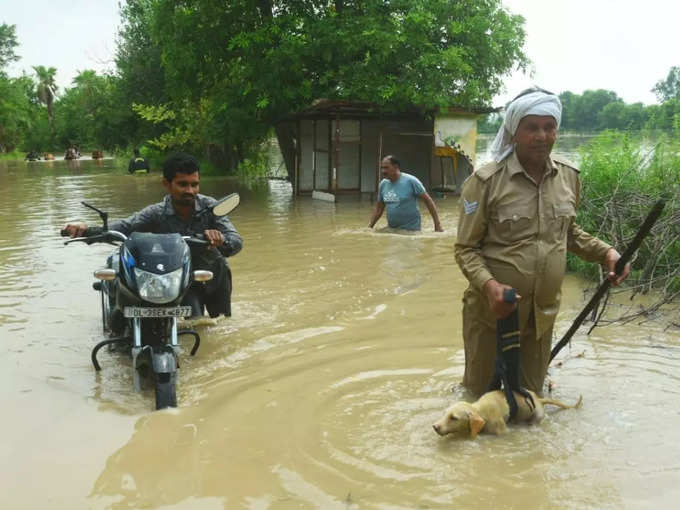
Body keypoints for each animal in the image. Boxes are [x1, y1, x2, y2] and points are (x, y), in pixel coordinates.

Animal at [432, 390, 580, 438]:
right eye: (445, 414)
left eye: (454, 418)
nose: (435, 426)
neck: (480, 411)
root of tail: (538, 399)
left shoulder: (501, 432)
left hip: (536, 417)